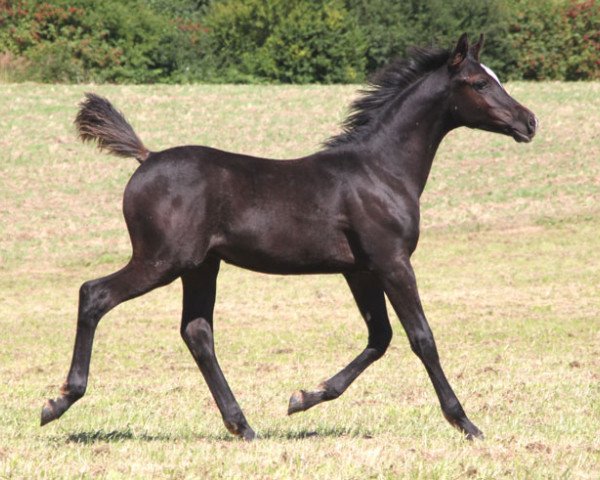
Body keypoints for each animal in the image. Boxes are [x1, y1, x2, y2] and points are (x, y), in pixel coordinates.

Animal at [43, 32, 540, 438]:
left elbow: (379, 337)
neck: (380, 170)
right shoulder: (392, 261)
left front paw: (303, 398)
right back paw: (60, 401)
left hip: (201, 266)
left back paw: (243, 426)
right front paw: (465, 422)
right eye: (479, 84)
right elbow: (421, 337)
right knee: (95, 294)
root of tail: (146, 157)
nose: (529, 121)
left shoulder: (360, 270)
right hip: (161, 260)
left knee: (197, 332)